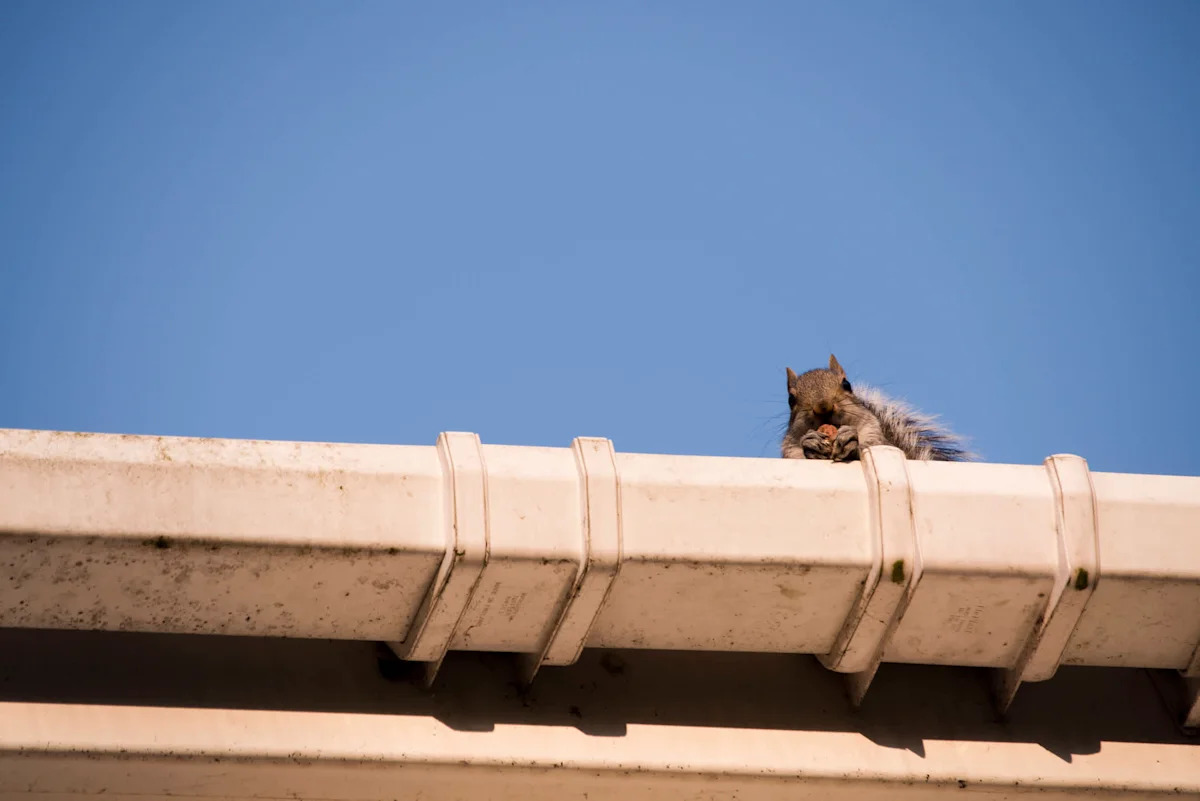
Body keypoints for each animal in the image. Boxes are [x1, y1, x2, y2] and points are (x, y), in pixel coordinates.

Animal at [781, 355, 972, 462]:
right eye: (791, 399)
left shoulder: (879, 440)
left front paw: (851, 438)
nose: (823, 406)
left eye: (846, 384)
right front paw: (810, 442)